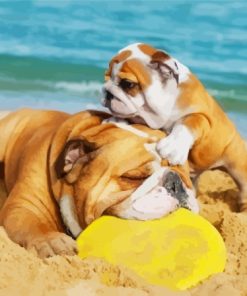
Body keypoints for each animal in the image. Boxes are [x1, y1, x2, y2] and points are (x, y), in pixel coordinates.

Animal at [0, 108, 197, 256]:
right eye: (133, 177)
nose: (175, 182)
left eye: (184, 174)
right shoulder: (24, 206)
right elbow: (33, 225)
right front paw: (52, 241)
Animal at [102, 43, 247, 210]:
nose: (106, 91)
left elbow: (189, 122)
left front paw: (173, 146)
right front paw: (115, 119)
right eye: (106, 78)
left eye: (128, 84)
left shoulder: (202, 116)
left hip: (237, 164)